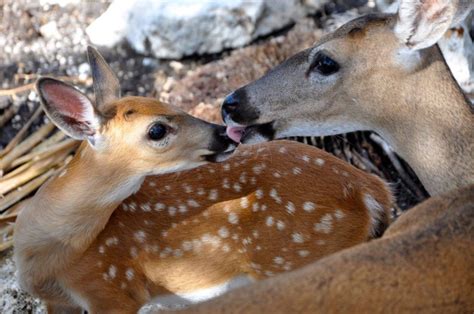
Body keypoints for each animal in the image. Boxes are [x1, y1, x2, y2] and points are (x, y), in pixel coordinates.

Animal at [14, 47, 392, 312]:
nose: (223, 133)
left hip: (297, 259)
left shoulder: (112, 291)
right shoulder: (60, 301)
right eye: (157, 129)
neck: (51, 255)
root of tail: (371, 190)